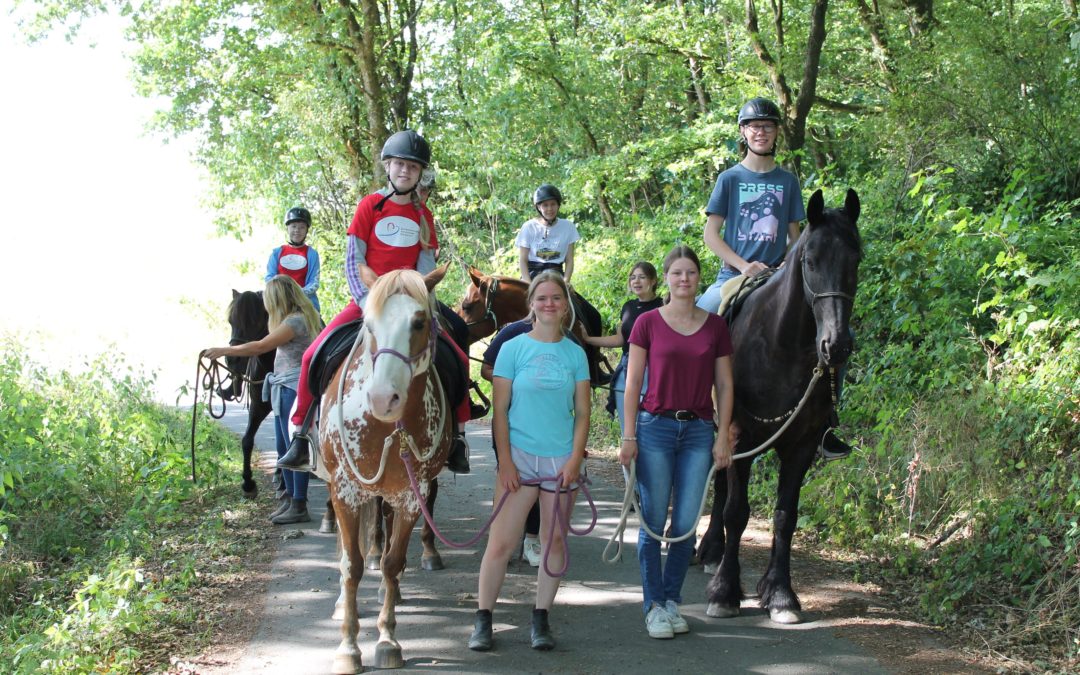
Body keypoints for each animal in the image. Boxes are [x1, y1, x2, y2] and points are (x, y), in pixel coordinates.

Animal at [221, 287, 274, 496]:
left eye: (256, 321)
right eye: (230, 321)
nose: (232, 360)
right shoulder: (258, 405)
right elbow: (247, 440)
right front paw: (248, 483)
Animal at [319, 266, 455, 669]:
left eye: (419, 322)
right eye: (369, 324)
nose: (382, 399)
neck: (387, 428)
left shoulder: (411, 496)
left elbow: (393, 562)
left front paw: (387, 639)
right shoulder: (345, 493)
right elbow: (352, 565)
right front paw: (348, 647)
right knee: (347, 552)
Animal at [699, 186, 859, 622]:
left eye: (856, 259)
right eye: (810, 261)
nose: (836, 345)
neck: (781, 346)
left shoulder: (801, 444)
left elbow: (786, 516)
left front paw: (781, 594)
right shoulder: (739, 435)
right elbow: (737, 512)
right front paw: (725, 592)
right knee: (721, 489)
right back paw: (709, 553)